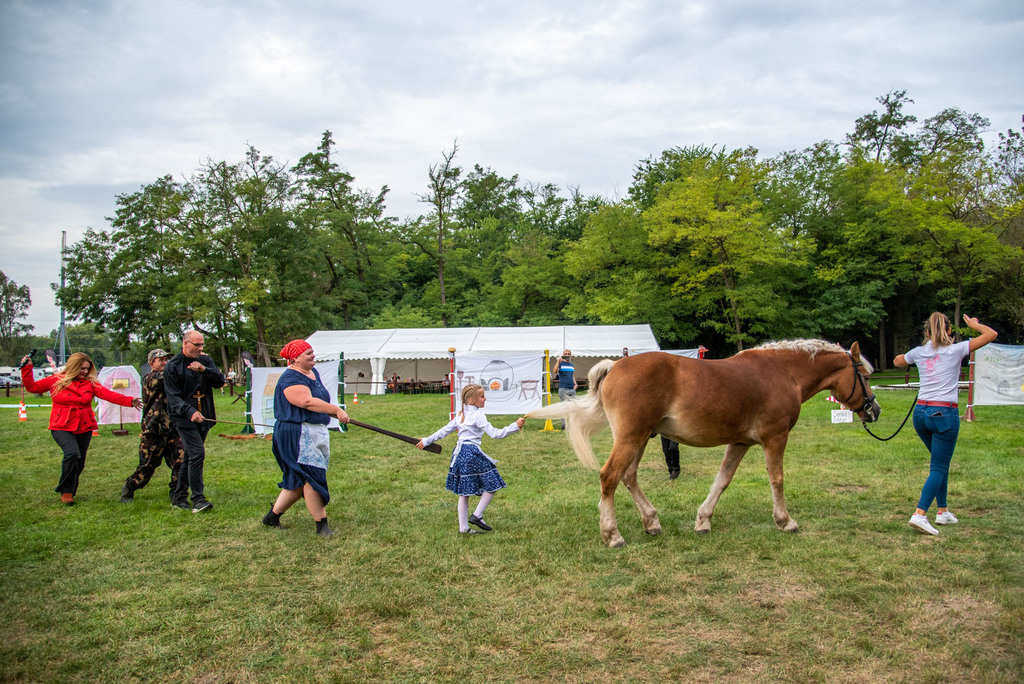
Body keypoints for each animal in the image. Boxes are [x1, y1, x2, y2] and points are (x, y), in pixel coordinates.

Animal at [528, 339, 880, 544]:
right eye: (865, 375)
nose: (873, 409)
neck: (782, 373)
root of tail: (617, 364)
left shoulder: (740, 443)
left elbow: (722, 480)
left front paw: (703, 520)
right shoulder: (775, 437)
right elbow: (777, 479)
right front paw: (785, 521)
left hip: (640, 438)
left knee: (628, 476)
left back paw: (651, 521)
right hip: (631, 437)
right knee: (610, 476)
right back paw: (612, 534)